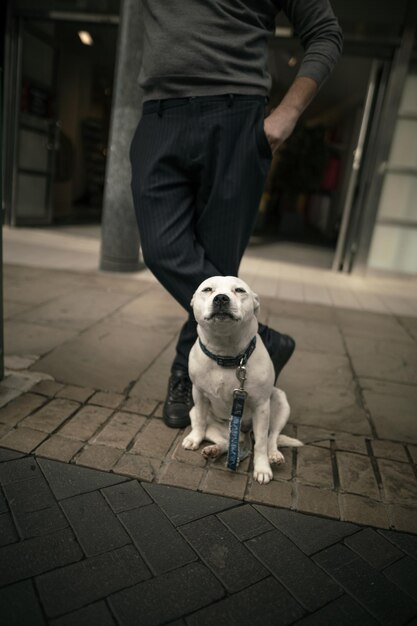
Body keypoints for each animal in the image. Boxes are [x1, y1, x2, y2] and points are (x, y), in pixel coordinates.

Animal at [180, 276, 300, 486]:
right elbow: (201, 422)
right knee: (224, 441)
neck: (226, 354)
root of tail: (244, 433)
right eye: (207, 289)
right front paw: (194, 439)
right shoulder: (198, 394)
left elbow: (261, 443)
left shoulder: (261, 406)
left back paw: (274, 455)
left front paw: (262, 469)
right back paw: (213, 450)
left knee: (271, 437)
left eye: (239, 290)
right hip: (198, 413)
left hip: (280, 402)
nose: (221, 298)